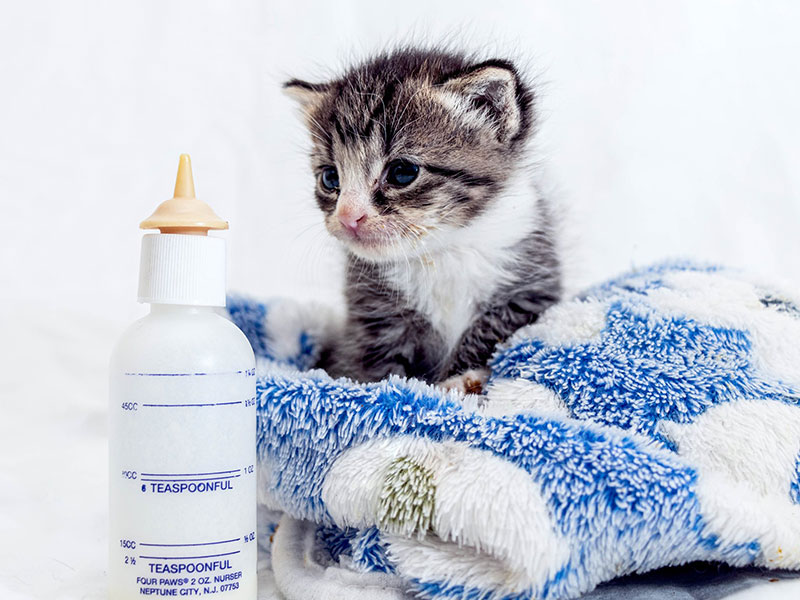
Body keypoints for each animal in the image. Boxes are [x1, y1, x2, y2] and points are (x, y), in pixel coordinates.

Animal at [284, 49, 560, 392]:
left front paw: (462, 378)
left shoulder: (529, 287)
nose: (348, 216)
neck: (441, 251)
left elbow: (493, 331)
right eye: (330, 177)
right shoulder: (373, 316)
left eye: (402, 172)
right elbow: (373, 365)